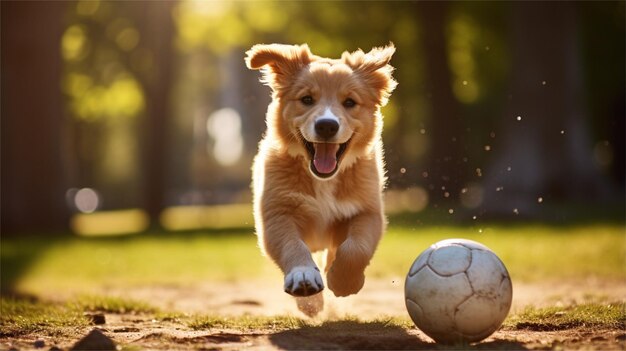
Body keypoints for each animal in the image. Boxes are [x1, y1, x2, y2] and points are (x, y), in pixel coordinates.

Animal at [244, 44, 394, 316]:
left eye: (349, 102)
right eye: (306, 99)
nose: (326, 126)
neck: (324, 180)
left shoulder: (368, 211)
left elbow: (355, 248)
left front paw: (343, 281)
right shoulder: (277, 213)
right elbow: (293, 245)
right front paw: (304, 280)